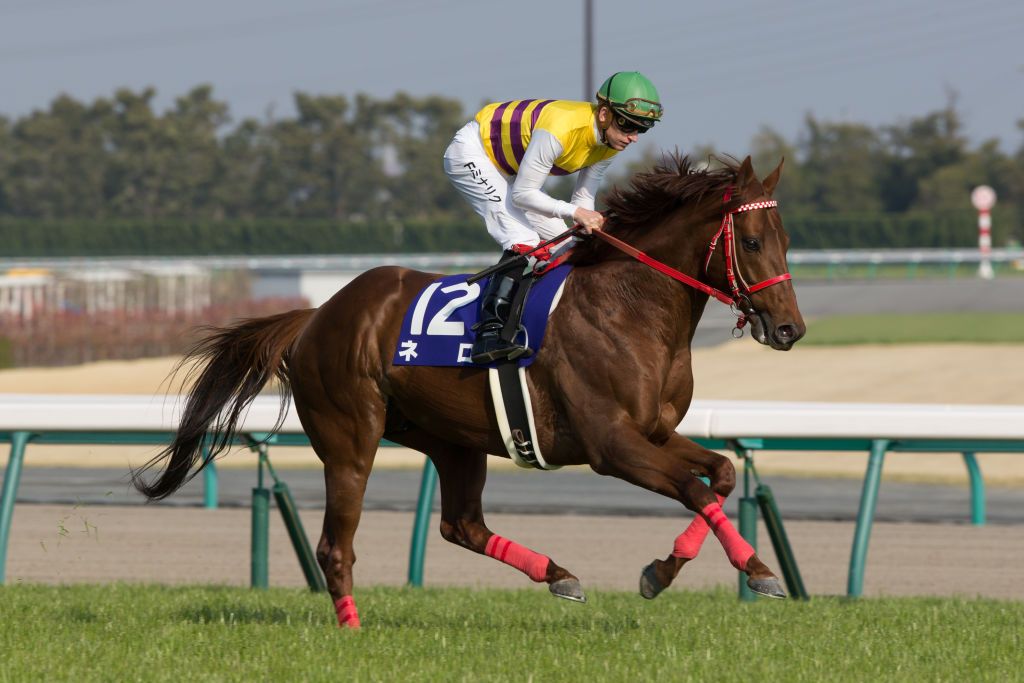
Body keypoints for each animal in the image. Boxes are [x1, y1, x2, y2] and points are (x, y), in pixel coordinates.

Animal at [134, 154, 806, 630]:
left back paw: (559, 575)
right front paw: (756, 570)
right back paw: (352, 629)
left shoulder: (655, 432)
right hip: (351, 438)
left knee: (462, 526)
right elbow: (695, 489)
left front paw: (667, 571)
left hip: (453, 440)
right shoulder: (610, 444)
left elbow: (720, 475)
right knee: (335, 547)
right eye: (751, 242)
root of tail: (317, 315)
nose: (790, 329)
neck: (629, 306)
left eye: (787, 241)